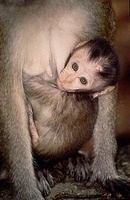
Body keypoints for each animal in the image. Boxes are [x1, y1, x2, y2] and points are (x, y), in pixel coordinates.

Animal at [0, 0, 129, 200]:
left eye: (83, 80)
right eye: (74, 66)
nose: (68, 79)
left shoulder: (97, 8)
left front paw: (106, 171)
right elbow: (10, 94)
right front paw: (26, 190)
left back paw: (72, 158)